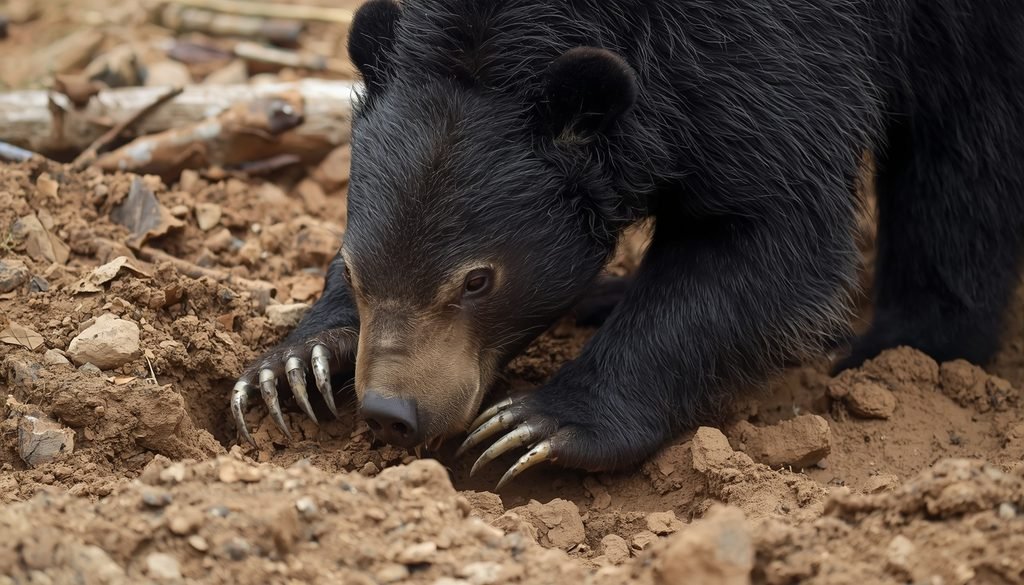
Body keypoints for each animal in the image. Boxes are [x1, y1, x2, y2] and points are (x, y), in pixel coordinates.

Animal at [231, 0, 1024, 487]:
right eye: (356, 267)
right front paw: (295, 365)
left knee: (965, 159)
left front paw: (533, 425)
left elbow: (767, 230)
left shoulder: (773, 55)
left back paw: (904, 347)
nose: (392, 412)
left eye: (478, 280)